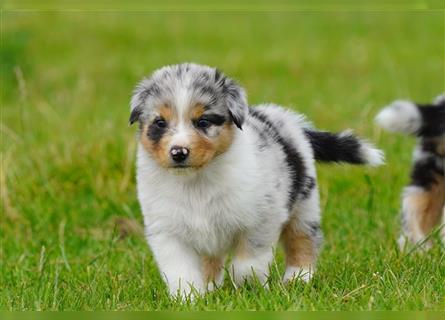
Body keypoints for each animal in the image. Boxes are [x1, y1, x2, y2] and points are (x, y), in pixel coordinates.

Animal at [130, 63, 384, 298]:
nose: (178, 152)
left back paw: (298, 278)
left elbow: (247, 263)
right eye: (160, 122)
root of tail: (285, 118)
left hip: (304, 205)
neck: (196, 182)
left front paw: (249, 289)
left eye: (203, 121)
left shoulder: (261, 218)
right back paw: (212, 287)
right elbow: (181, 271)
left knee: (303, 240)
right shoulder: (167, 231)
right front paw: (190, 299)